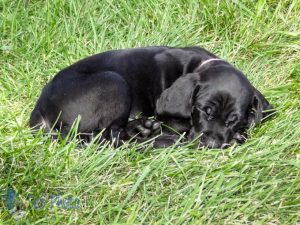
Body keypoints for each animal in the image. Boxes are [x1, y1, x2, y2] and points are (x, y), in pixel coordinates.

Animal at [29, 46, 274, 149]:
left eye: (233, 120)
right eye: (204, 111)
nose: (211, 144)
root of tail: (39, 111)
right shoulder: (172, 119)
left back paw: (143, 128)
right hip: (113, 81)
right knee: (111, 137)